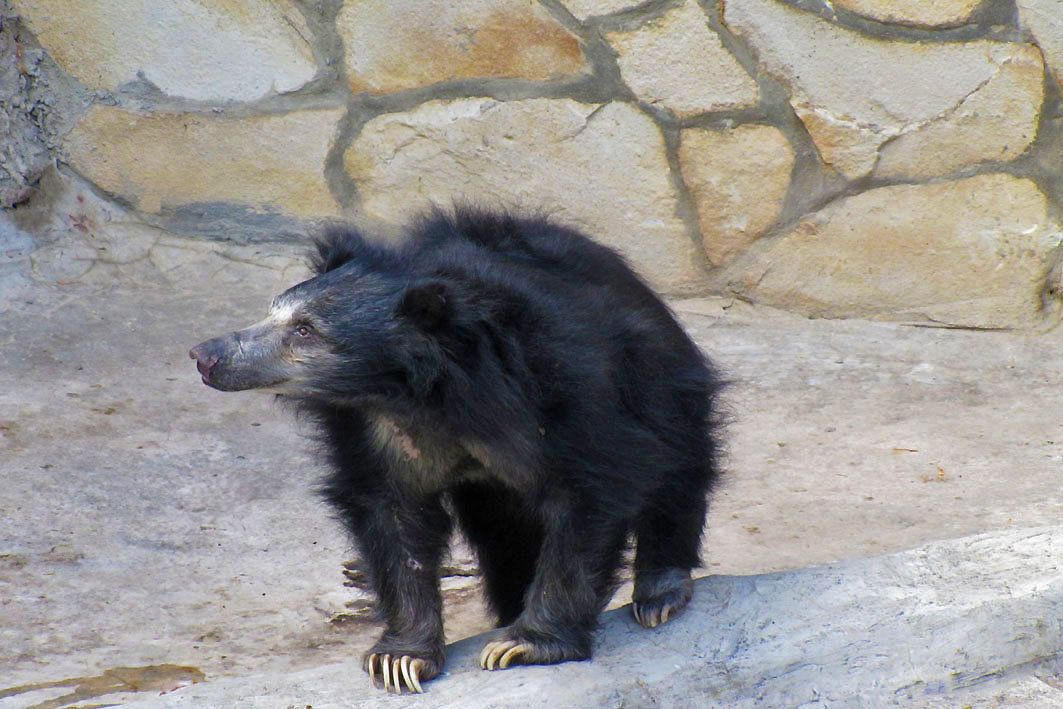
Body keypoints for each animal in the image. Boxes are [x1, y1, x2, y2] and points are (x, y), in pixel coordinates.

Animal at [191, 208, 722, 697]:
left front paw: (523, 645)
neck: (420, 391)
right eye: (271, 311)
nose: (205, 355)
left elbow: (592, 490)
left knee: (679, 463)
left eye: (304, 329)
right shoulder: (368, 430)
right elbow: (392, 514)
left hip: (657, 376)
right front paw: (400, 659)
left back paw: (659, 593)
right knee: (506, 537)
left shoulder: (566, 390)